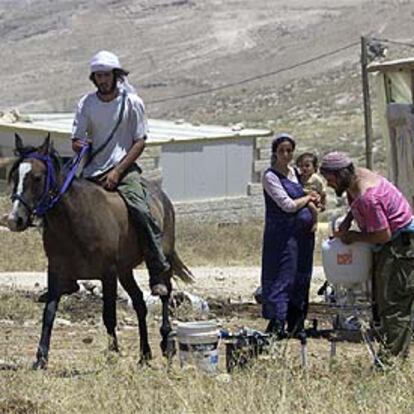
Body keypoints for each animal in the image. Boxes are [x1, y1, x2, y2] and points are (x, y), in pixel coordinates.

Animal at [4, 134, 193, 370]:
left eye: (37, 178)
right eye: (14, 175)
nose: (15, 220)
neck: (75, 219)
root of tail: (162, 198)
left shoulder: (108, 274)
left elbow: (109, 315)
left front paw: (113, 354)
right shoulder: (56, 270)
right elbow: (49, 313)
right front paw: (41, 358)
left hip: (160, 259)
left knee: (165, 293)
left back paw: (166, 344)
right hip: (125, 271)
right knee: (140, 303)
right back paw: (144, 355)